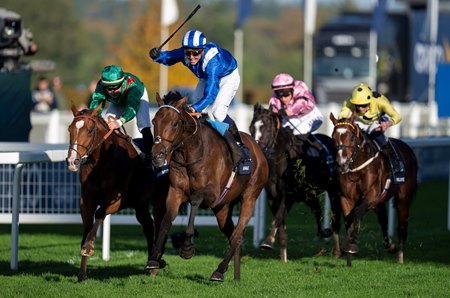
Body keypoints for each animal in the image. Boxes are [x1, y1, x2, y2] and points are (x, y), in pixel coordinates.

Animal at [67, 104, 170, 282]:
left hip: (159, 200)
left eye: (90, 130)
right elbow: (87, 227)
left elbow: (100, 213)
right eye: (69, 129)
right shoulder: (86, 199)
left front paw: (88, 246)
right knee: (148, 225)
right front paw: (82, 273)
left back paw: (155, 265)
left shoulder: (117, 199)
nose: (72, 161)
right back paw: (151, 261)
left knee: (159, 224)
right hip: (139, 203)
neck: (102, 161)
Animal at [146, 91, 268, 282]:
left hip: (250, 196)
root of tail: (258, 150)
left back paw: (219, 271)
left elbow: (195, 200)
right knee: (233, 235)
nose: (157, 155)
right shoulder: (175, 192)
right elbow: (166, 220)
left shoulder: (212, 193)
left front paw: (187, 248)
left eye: (174, 123)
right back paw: (235, 275)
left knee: (237, 234)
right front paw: (154, 258)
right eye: (154, 121)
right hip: (222, 208)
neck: (191, 154)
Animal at [250, 104, 342, 260]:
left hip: (333, 190)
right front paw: (283, 256)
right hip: (310, 194)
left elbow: (278, 217)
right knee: (317, 210)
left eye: (266, 128)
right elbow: (280, 223)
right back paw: (324, 233)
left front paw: (267, 242)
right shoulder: (272, 197)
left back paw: (337, 250)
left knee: (335, 217)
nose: (258, 150)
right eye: (251, 128)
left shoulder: (288, 196)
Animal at [326, 113, 418, 266]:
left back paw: (400, 256)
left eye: (352, 137)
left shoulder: (371, 195)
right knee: (383, 219)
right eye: (333, 137)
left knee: (402, 226)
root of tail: (408, 149)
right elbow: (349, 219)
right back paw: (390, 246)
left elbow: (356, 214)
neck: (357, 168)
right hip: (379, 202)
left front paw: (351, 245)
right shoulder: (346, 197)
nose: (342, 164)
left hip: (403, 198)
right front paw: (348, 250)